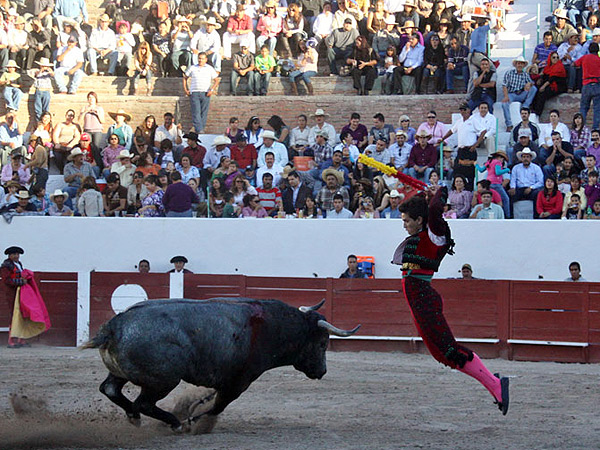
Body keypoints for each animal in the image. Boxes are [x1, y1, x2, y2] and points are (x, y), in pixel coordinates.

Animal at [82, 298, 358, 428]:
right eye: (322, 343)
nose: (322, 371)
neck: (275, 325)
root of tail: (114, 327)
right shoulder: (241, 380)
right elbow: (218, 406)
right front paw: (193, 421)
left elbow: (213, 400)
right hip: (164, 381)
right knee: (144, 403)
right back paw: (174, 423)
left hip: (122, 373)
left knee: (111, 389)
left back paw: (134, 417)